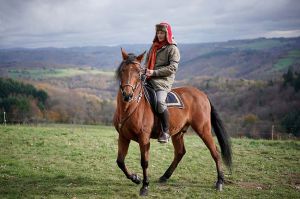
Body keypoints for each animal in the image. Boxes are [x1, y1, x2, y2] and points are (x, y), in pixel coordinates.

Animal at [113, 48, 233, 196]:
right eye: (123, 70)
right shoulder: (123, 136)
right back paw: (165, 176)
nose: (127, 95)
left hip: (203, 129)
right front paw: (136, 178)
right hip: (178, 133)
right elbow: (120, 161)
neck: (131, 107)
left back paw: (220, 181)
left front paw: (145, 186)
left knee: (215, 151)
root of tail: (202, 94)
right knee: (180, 152)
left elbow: (144, 162)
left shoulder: (144, 138)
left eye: (138, 72)